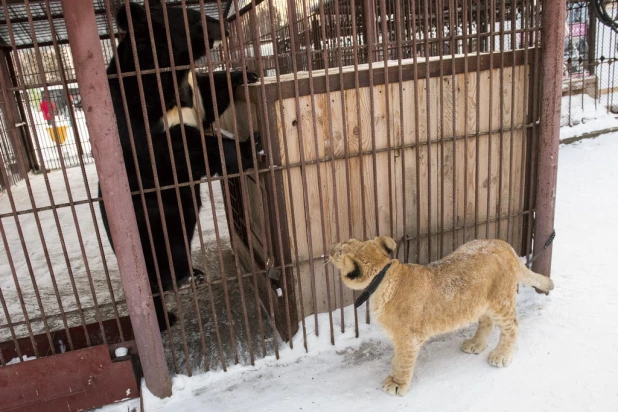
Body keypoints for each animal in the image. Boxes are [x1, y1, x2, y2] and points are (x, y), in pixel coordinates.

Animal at [100, 1, 258, 330]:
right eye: (194, 17)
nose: (224, 27)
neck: (167, 74)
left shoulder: (192, 91)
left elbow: (210, 93)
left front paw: (247, 73)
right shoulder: (138, 111)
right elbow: (174, 148)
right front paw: (250, 145)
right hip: (151, 217)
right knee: (161, 258)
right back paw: (173, 297)